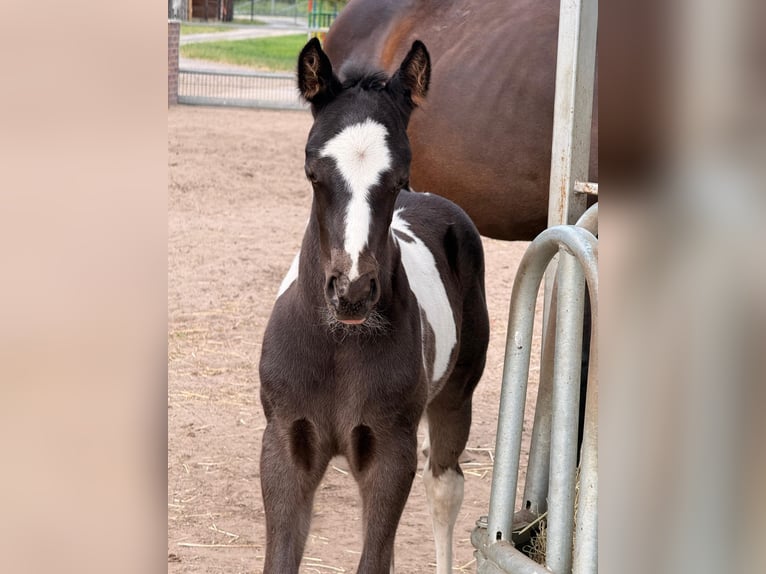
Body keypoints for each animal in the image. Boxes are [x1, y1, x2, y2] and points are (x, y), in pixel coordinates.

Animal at [258, 38, 490, 574]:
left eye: (399, 177)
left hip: (456, 396)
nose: (352, 291)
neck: (339, 345)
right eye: (312, 172)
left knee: (444, 488)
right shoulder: (284, 445)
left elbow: (377, 556)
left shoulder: (389, 455)